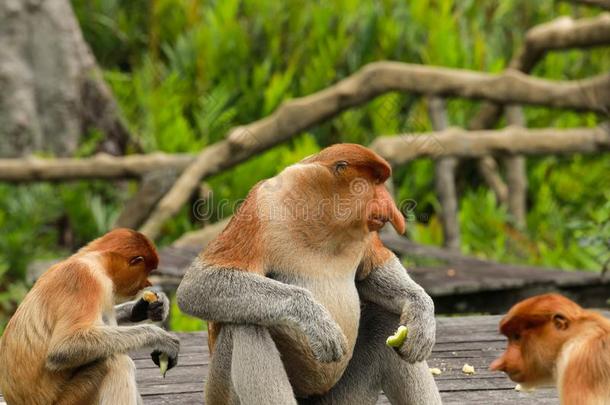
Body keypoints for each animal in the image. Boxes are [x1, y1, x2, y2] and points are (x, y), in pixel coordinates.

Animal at [0, 229, 179, 402]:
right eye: (147, 271)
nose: (148, 283)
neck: (94, 259)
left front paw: (149, 307)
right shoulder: (86, 279)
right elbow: (63, 348)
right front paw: (161, 337)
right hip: (71, 398)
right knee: (115, 361)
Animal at [178, 144, 440, 402]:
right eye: (375, 182)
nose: (391, 209)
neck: (325, 220)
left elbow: (371, 271)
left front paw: (422, 315)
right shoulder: (261, 208)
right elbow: (196, 284)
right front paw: (315, 319)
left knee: (385, 319)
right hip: (219, 391)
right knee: (245, 325)